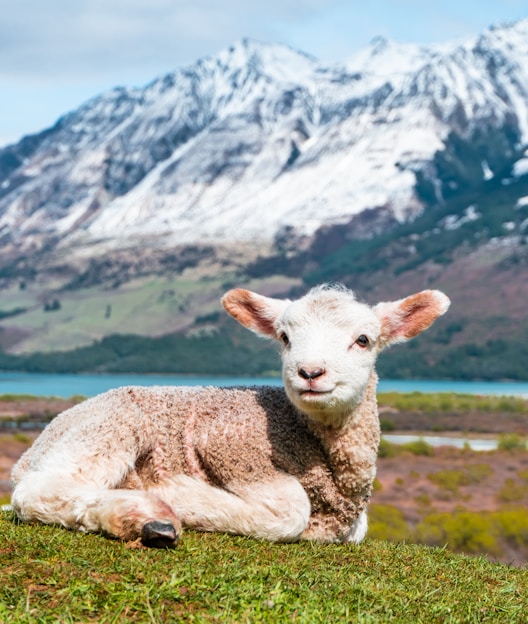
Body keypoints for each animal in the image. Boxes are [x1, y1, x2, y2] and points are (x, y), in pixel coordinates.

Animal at [10, 282, 450, 544]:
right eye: (284, 338)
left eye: (363, 340)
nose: (310, 373)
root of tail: (30, 450)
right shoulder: (229, 442)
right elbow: (290, 513)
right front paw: (179, 493)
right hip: (109, 427)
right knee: (36, 492)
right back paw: (141, 514)